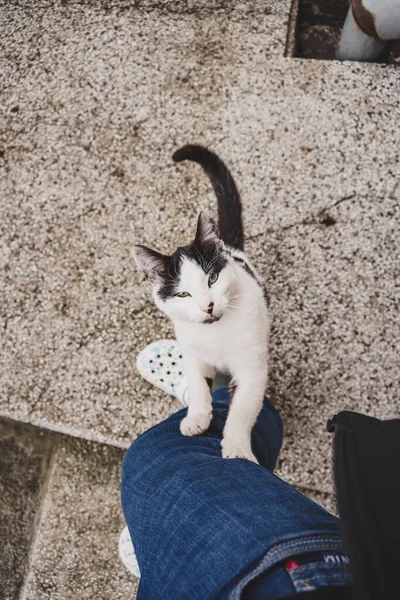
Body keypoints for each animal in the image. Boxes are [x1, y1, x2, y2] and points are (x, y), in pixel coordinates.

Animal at [134, 145, 268, 464]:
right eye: (183, 295)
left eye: (213, 278)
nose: (207, 306)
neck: (214, 332)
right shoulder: (192, 351)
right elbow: (197, 385)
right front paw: (197, 418)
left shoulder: (252, 368)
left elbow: (242, 410)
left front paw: (237, 448)